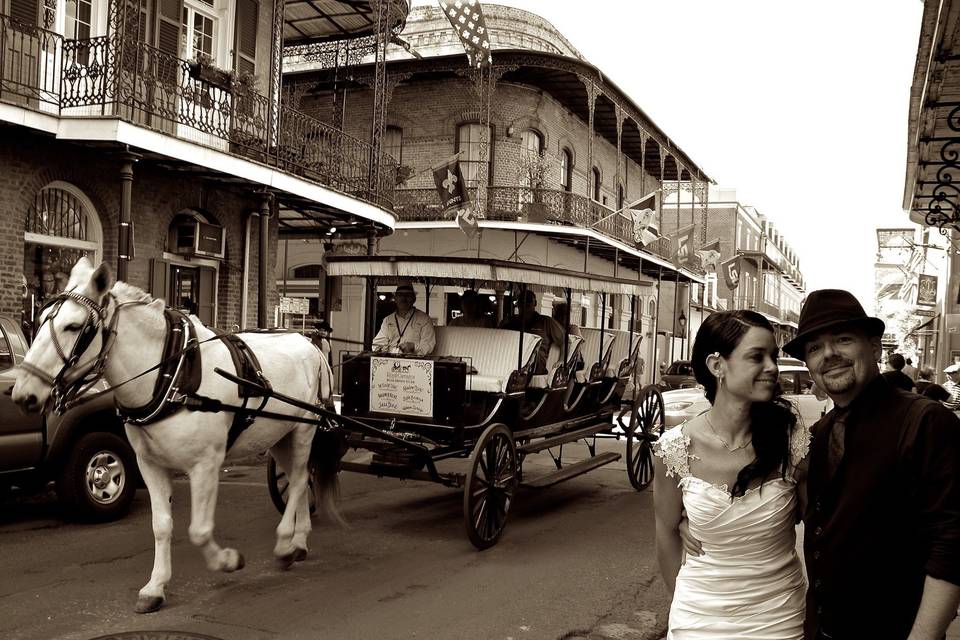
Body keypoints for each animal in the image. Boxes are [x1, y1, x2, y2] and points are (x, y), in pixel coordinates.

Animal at [12, 258, 338, 612]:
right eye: (39, 320)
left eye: (73, 327)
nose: (22, 395)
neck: (172, 375)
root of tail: (309, 343)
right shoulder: (149, 463)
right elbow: (161, 526)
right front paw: (155, 587)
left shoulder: (206, 464)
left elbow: (199, 530)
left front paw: (226, 561)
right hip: (278, 434)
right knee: (294, 478)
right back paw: (299, 539)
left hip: (303, 429)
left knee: (299, 480)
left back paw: (286, 544)